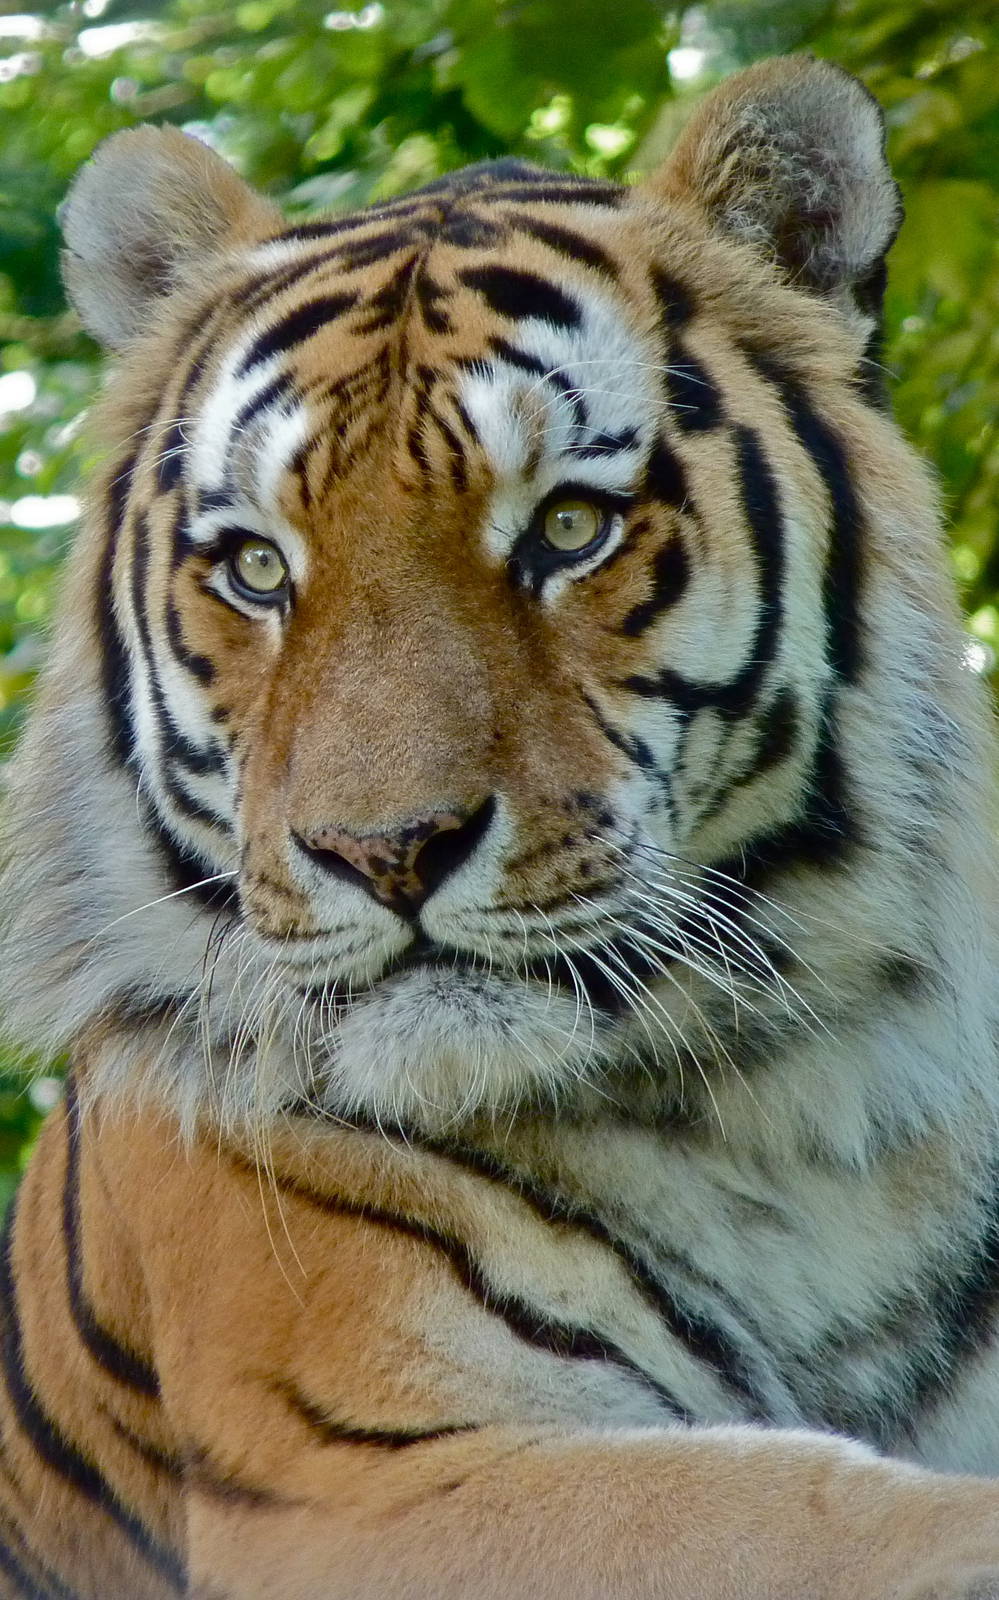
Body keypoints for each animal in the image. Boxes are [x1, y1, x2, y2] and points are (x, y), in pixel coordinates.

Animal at [0, 48, 998, 1599]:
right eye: (255, 568)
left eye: (570, 528)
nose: (386, 850)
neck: (793, 1109)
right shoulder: (365, 1479)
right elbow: (840, 1511)